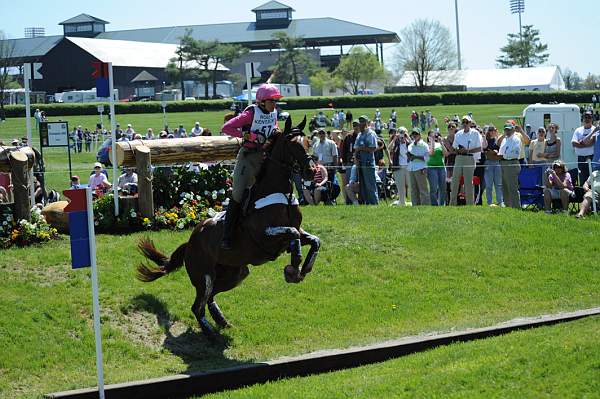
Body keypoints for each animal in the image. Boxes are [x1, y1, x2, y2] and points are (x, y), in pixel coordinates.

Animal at [136, 116, 322, 338]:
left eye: (309, 142)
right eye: (292, 145)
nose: (312, 172)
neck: (280, 194)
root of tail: (189, 244)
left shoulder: (296, 232)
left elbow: (314, 240)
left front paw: (303, 269)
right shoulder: (265, 235)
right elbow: (292, 234)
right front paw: (294, 266)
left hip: (235, 273)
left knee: (209, 298)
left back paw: (222, 321)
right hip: (204, 276)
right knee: (197, 306)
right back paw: (210, 334)